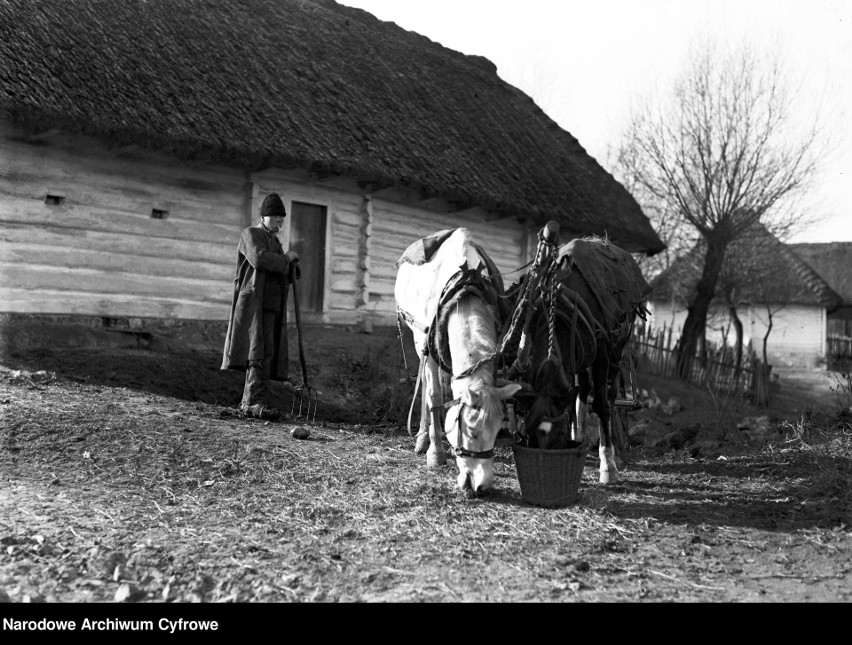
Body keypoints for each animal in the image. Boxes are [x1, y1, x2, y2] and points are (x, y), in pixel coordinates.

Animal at [396, 228, 524, 494]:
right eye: (471, 432)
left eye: (497, 431)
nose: (482, 486)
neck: (462, 291)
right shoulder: (427, 347)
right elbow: (433, 396)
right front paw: (435, 453)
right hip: (418, 341)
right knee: (425, 384)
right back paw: (422, 436)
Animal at [506, 229, 644, 480]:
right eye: (528, 434)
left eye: (559, 435)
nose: (546, 466)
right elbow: (572, 400)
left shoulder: (601, 352)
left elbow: (600, 405)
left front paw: (607, 465)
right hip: (582, 353)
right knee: (583, 390)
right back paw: (579, 435)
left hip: (617, 346)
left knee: (608, 394)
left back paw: (613, 453)